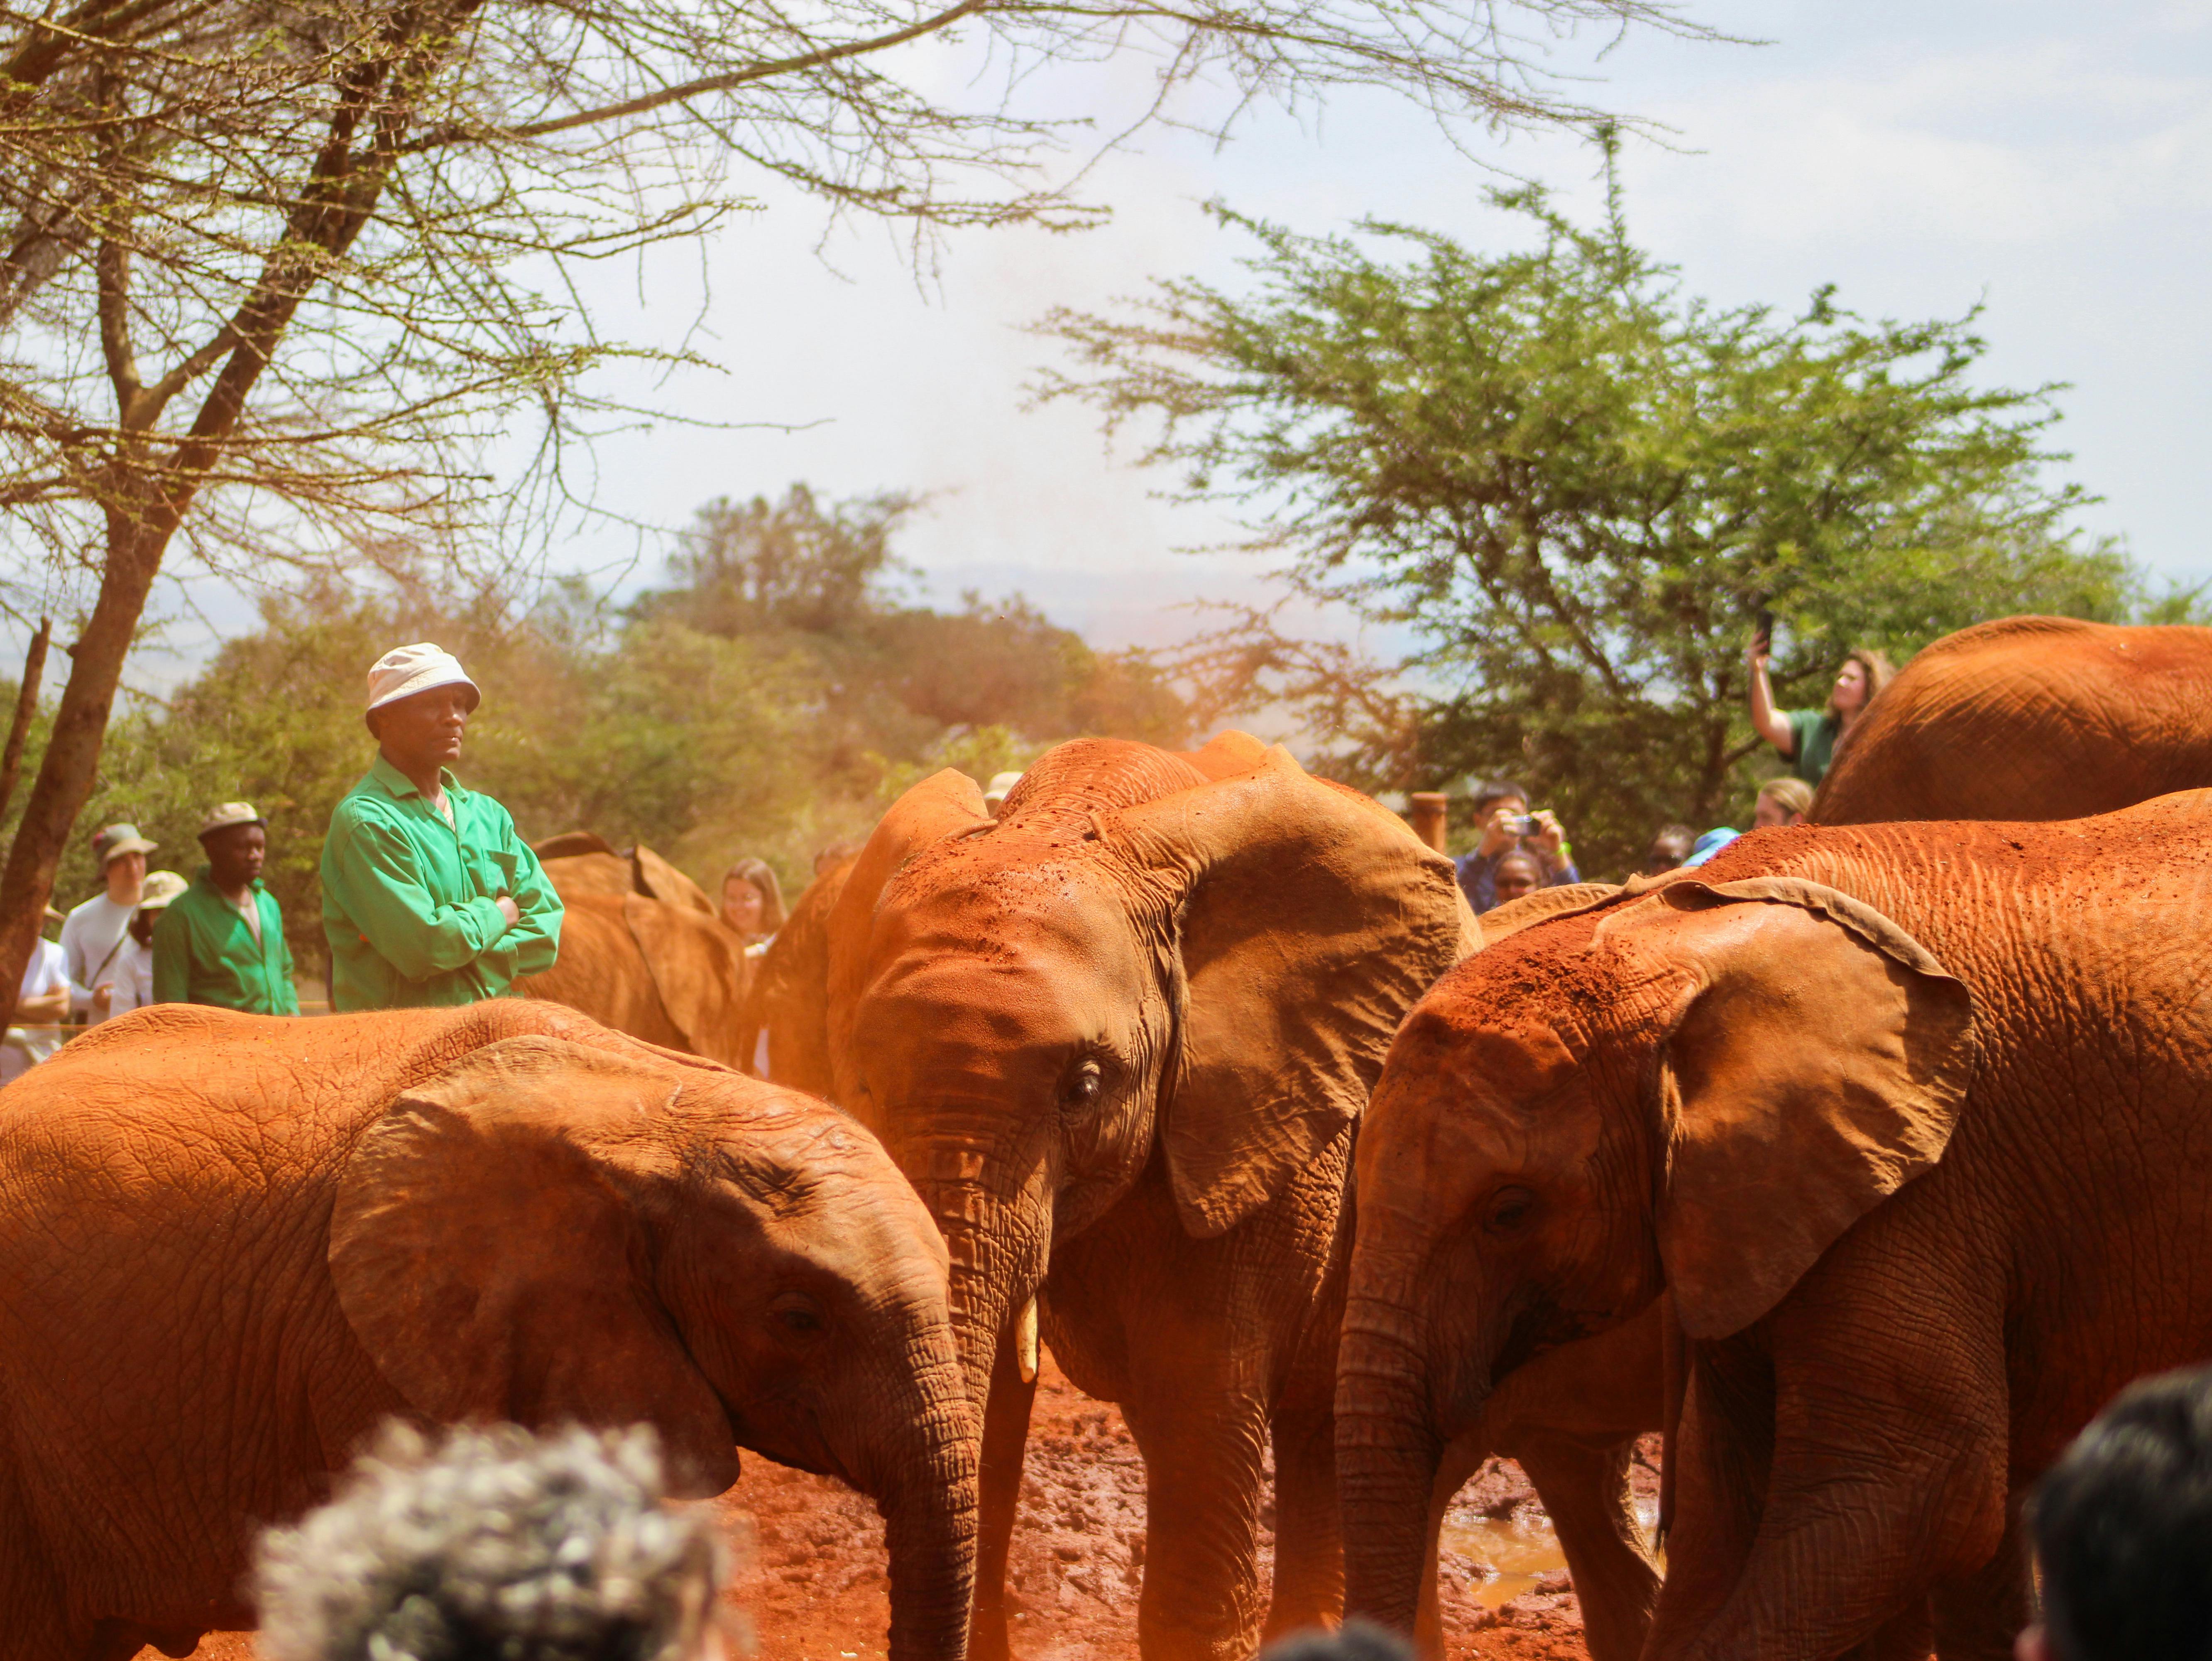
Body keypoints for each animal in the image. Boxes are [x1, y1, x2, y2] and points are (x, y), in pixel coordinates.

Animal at [826, 732, 1475, 1661]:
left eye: (1084, 1086)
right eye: (867, 1079)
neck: (1077, 808)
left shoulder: (1259, 1123)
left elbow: (1200, 1408)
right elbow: (988, 1421)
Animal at [1337, 795, 2212, 1661]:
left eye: (1509, 1211)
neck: (1663, 932)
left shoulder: (1928, 1174)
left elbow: (1920, 1487)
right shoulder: (1753, 1201)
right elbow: (1732, 1504)